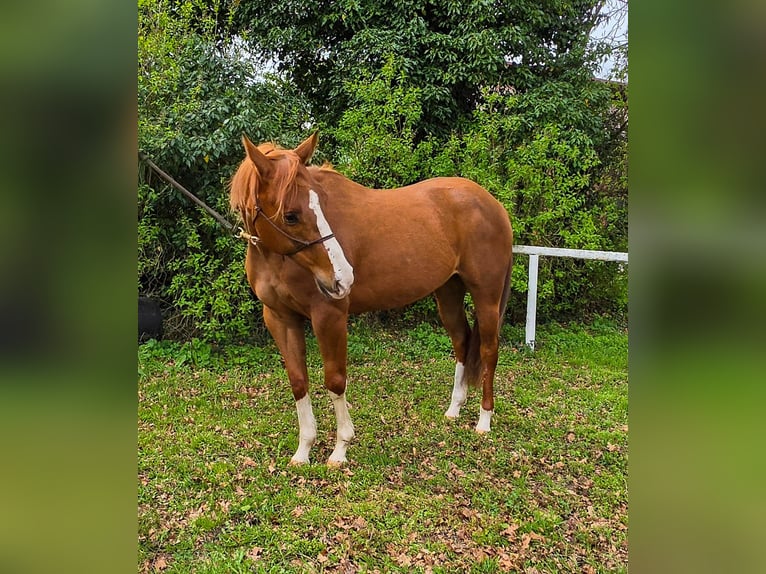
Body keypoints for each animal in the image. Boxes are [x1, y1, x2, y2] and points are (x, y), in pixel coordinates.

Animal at [229, 133, 513, 466]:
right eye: (290, 215)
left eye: (320, 205)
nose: (343, 277)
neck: (279, 260)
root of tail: (493, 204)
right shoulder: (279, 318)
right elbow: (299, 382)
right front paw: (303, 451)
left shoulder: (329, 316)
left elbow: (335, 380)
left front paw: (340, 449)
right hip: (448, 293)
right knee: (462, 341)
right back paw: (454, 409)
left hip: (486, 296)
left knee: (488, 349)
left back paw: (484, 420)